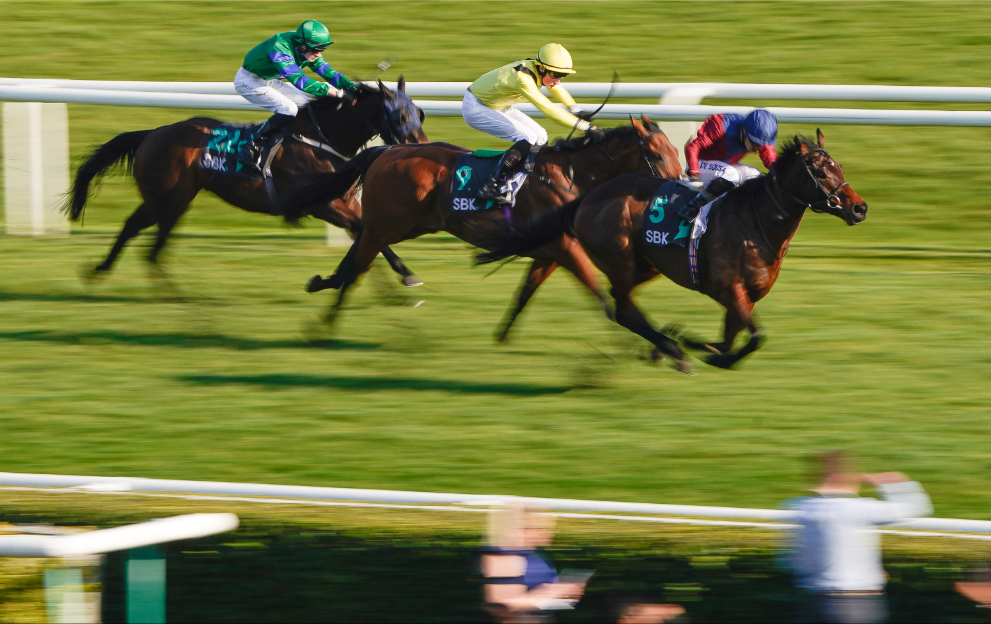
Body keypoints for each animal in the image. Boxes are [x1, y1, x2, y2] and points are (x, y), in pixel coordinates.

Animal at [64, 78, 428, 286]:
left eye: (420, 112)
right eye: (400, 115)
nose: (422, 148)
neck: (322, 140)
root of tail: (153, 133)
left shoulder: (348, 203)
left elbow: (366, 237)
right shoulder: (321, 204)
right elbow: (368, 235)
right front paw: (406, 276)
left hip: (164, 200)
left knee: (136, 233)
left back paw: (107, 272)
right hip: (168, 200)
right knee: (144, 239)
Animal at [282, 113, 684, 336]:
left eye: (676, 150)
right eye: (658, 153)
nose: (680, 186)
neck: (571, 175)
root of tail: (388, 150)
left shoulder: (550, 249)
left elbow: (526, 293)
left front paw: (502, 337)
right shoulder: (565, 247)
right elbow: (601, 296)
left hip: (406, 223)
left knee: (359, 247)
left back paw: (324, 282)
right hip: (390, 223)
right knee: (359, 265)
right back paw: (325, 323)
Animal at [476, 130, 864, 372]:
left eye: (840, 167)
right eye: (819, 171)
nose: (860, 208)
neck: (757, 224)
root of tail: (586, 197)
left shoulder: (748, 295)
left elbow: (731, 337)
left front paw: (695, 342)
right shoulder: (728, 288)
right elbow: (754, 337)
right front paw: (698, 349)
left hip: (647, 263)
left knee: (623, 304)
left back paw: (665, 346)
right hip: (618, 255)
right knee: (623, 309)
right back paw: (673, 351)